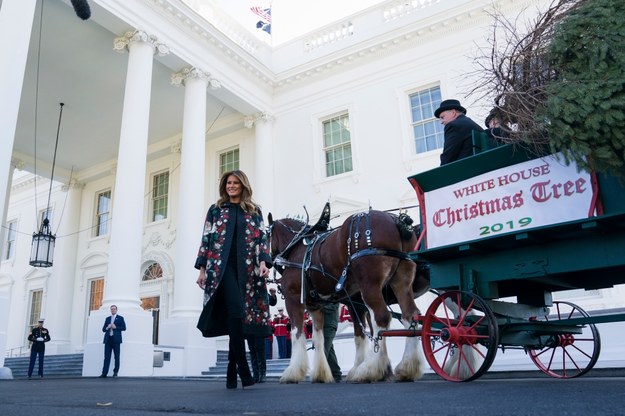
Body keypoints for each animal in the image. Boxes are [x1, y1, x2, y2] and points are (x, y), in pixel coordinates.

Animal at [266, 205, 432, 384]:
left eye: (266, 235)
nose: (266, 262)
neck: (296, 248)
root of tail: (397, 221)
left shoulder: (294, 299)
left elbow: (297, 333)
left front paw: (293, 372)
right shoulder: (318, 306)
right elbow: (322, 338)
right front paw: (321, 373)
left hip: (370, 286)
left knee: (381, 318)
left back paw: (369, 369)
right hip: (401, 281)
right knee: (410, 316)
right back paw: (407, 367)